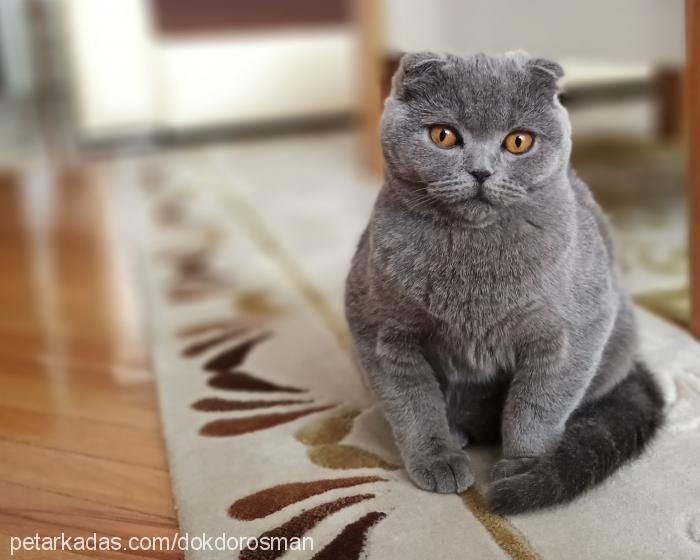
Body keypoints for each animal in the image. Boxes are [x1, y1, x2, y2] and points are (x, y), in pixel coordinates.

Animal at [348, 50, 664, 516]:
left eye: (518, 141)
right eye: (444, 135)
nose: (481, 171)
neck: (474, 265)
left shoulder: (572, 333)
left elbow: (536, 407)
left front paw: (524, 468)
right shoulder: (381, 332)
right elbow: (413, 403)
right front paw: (437, 459)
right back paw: (458, 433)